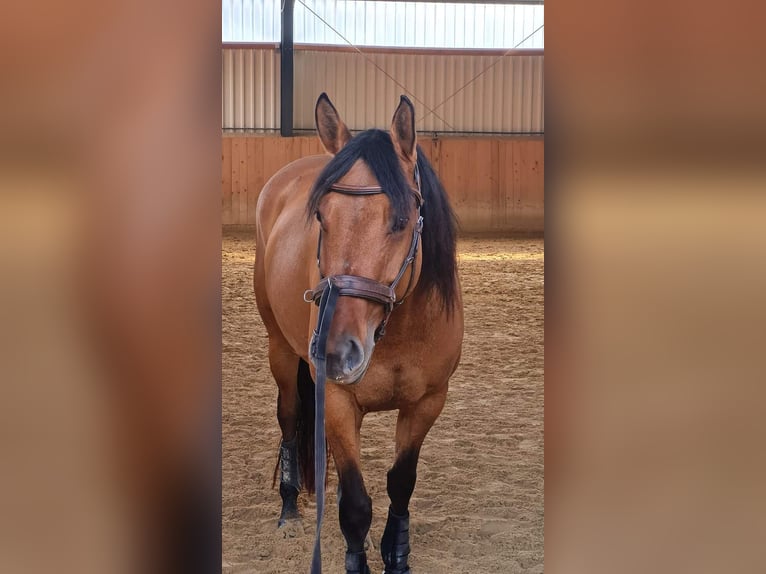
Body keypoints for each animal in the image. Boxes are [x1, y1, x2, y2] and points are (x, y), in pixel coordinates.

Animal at [254, 93, 464, 574]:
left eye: (402, 220)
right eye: (320, 217)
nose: (335, 353)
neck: (398, 330)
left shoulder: (428, 402)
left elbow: (400, 483)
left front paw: (395, 555)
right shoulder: (335, 398)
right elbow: (355, 505)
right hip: (280, 349)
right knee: (289, 416)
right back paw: (289, 509)